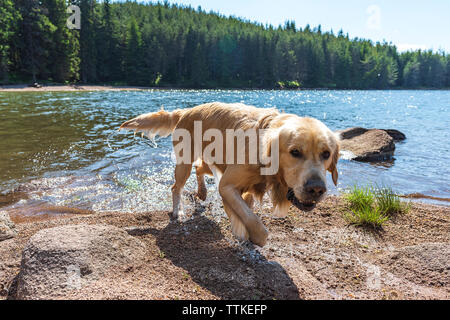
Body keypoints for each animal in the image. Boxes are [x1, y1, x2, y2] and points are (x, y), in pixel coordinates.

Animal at [119, 102, 338, 245]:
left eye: (326, 154)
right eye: (295, 152)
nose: (317, 189)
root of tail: (187, 110)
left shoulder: (245, 187)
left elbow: (247, 208)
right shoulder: (226, 185)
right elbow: (253, 221)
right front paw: (248, 234)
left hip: (214, 161)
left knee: (200, 169)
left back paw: (202, 192)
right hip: (184, 163)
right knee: (176, 187)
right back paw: (178, 212)